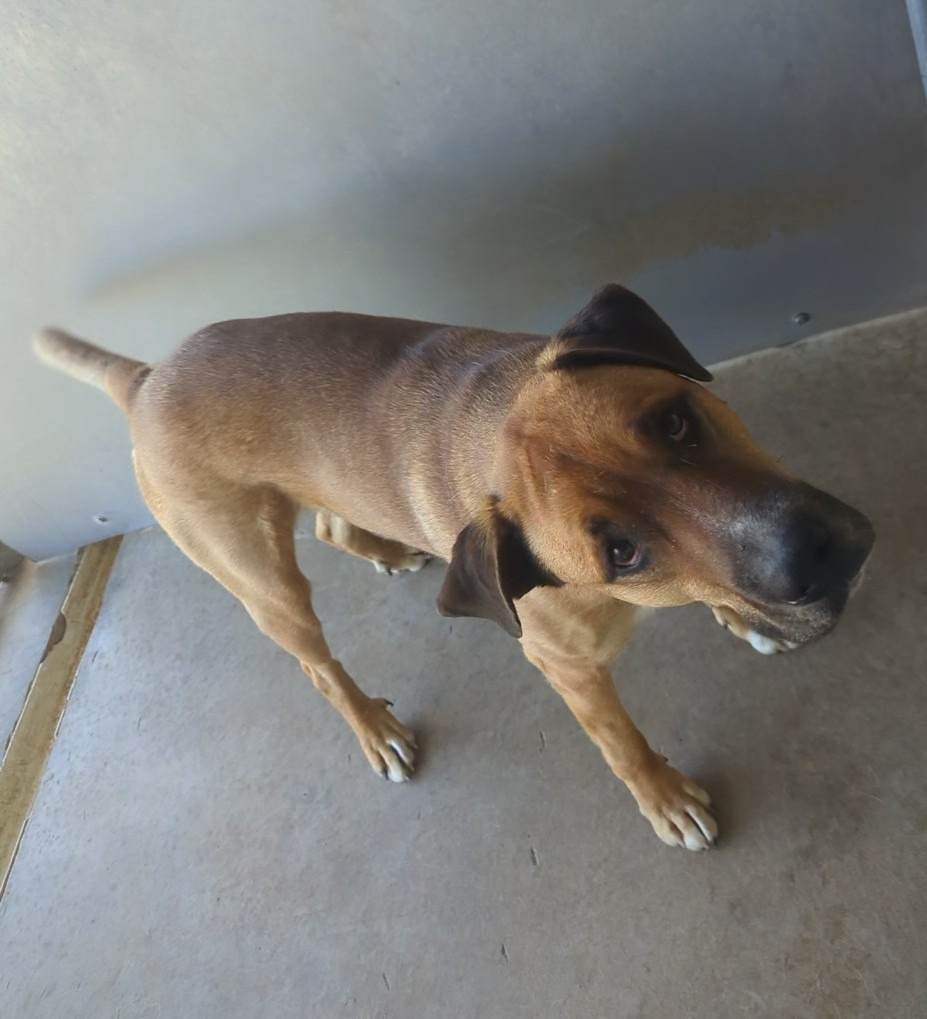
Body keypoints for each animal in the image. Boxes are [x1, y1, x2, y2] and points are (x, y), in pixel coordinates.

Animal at [36, 287, 876, 851]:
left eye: (675, 420)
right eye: (620, 551)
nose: (815, 553)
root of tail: (145, 379)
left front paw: (741, 615)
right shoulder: (567, 667)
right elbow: (620, 741)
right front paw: (664, 795)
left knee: (331, 522)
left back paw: (386, 550)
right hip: (264, 583)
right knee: (317, 665)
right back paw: (374, 726)